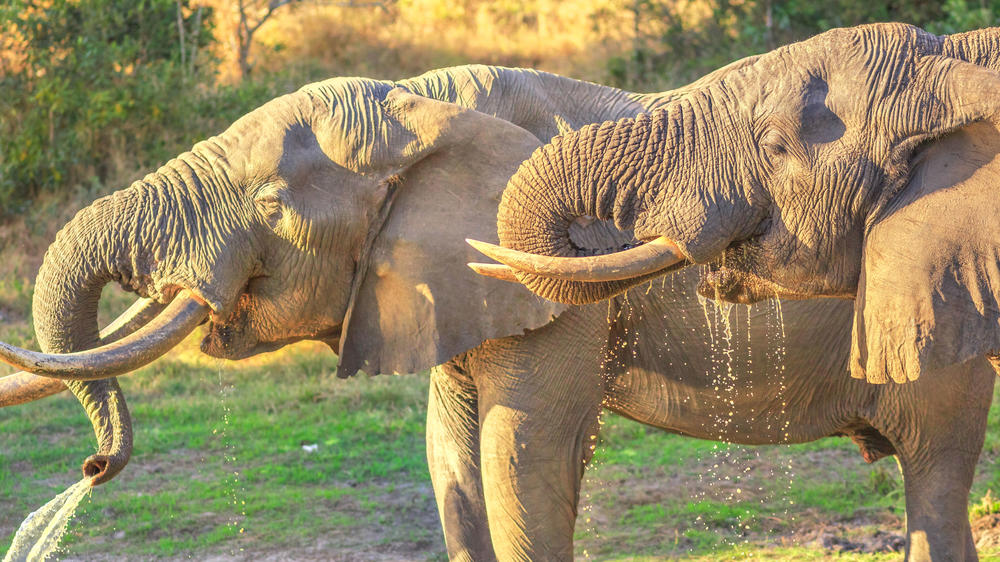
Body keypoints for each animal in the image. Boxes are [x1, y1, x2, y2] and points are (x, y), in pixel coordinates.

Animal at [0, 61, 994, 561]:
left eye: (273, 208)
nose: (92, 466)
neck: (421, 105)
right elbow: (452, 455)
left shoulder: (559, 289)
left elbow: (520, 452)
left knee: (936, 477)